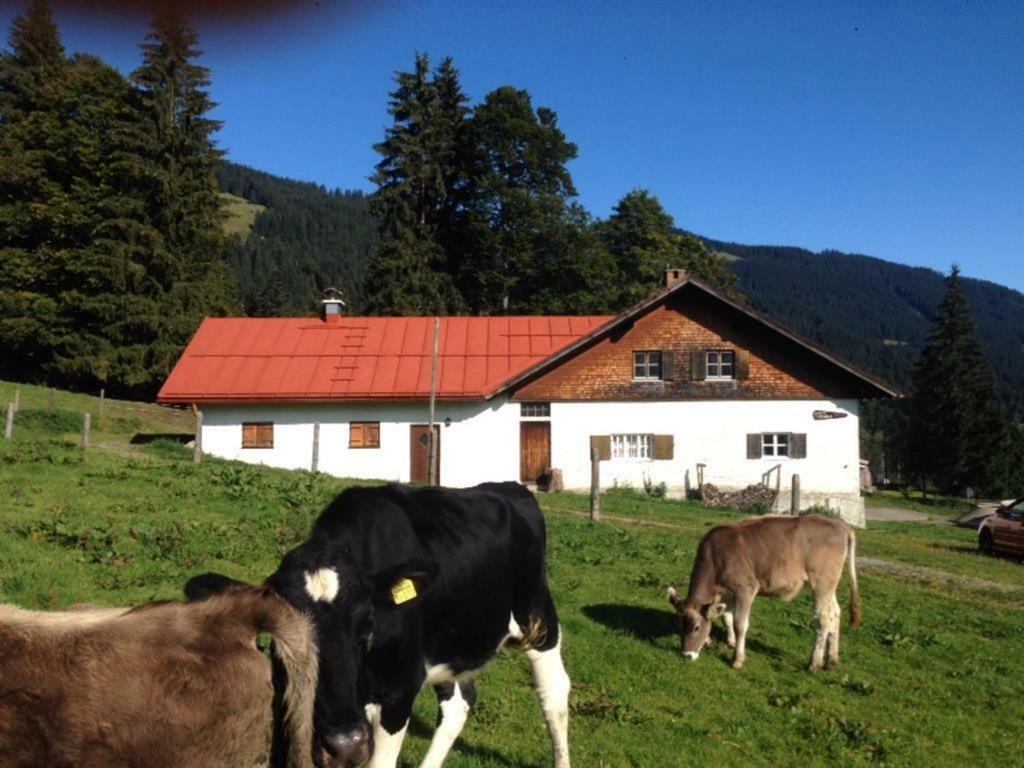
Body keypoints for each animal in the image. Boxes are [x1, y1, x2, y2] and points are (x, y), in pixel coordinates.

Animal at [266, 481, 569, 768]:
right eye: (288, 635)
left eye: (368, 623)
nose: (346, 744)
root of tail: (512, 488)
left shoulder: (398, 693)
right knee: (458, 705)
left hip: (539, 620)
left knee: (554, 695)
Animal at [667, 518, 860, 671]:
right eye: (678, 624)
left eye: (696, 627)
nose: (685, 655)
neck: (717, 557)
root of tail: (841, 525)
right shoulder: (727, 592)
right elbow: (726, 617)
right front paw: (726, 641)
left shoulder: (745, 588)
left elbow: (739, 624)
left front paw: (737, 659)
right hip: (830, 586)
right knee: (836, 614)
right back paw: (832, 660)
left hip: (821, 583)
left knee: (823, 620)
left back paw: (814, 663)